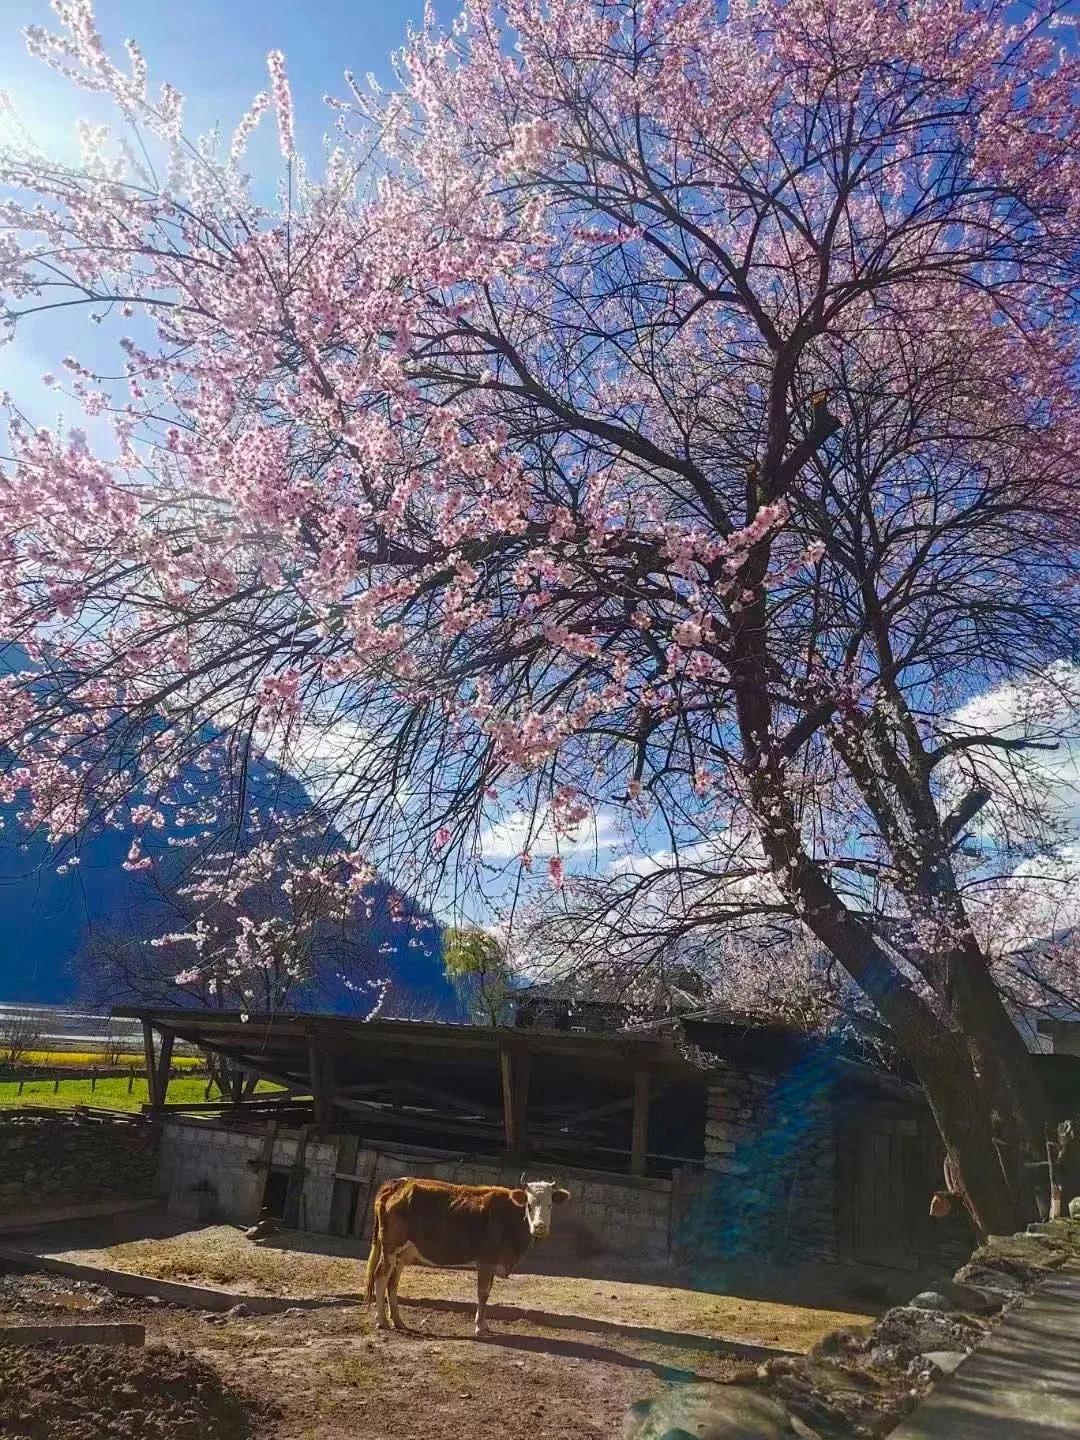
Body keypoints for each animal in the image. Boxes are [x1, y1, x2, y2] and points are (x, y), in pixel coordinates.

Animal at [364, 1175, 570, 1330]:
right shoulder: (485, 1261)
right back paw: (382, 1321)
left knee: (393, 1282)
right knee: (381, 1276)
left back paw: (398, 1321)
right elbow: (483, 1293)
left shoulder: (492, 1263)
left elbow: (487, 1292)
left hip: (404, 1253)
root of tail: (398, 1183)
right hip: (390, 1248)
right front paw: (480, 1326)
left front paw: (483, 1324)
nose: (540, 1226)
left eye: (550, 1205)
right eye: (529, 1204)